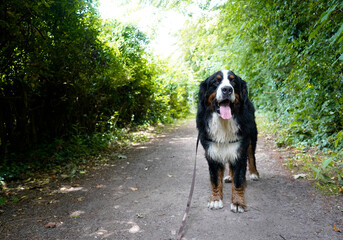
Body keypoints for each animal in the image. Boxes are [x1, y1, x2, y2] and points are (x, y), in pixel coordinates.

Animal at [196, 69, 260, 212]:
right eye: (216, 81)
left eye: (233, 82)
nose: (227, 89)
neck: (223, 122)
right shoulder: (212, 152)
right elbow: (215, 179)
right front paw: (215, 199)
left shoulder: (240, 150)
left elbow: (238, 180)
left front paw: (238, 202)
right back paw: (229, 176)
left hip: (251, 137)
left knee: (251, 156)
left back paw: (254, 173)